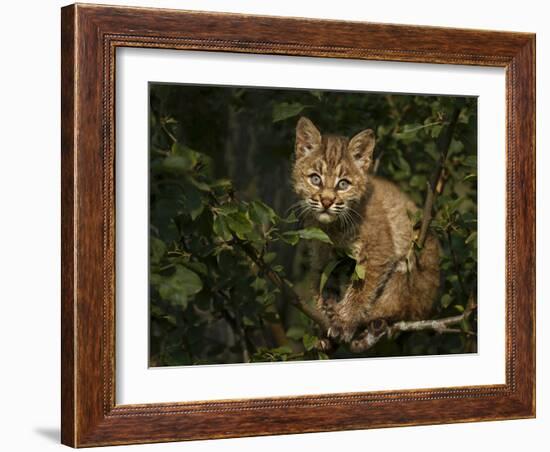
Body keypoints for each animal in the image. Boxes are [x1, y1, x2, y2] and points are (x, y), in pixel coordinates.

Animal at [292, 117, 442, 350]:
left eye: (343, 184)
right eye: (315, 179)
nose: (326, 201)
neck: (332, 227)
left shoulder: (379, 250)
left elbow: (361, 290)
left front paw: (344, 322)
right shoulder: (322, 254)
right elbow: (323, 285)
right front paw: (324, 319)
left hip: (415, 255)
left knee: (400, 306)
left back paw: (372, 324)